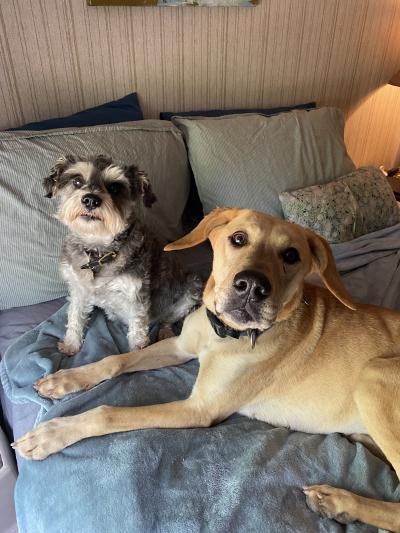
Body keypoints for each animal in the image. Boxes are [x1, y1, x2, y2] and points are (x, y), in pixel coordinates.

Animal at [43, 154, 203, 354]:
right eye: (77, 181)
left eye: (115, 187)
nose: (91, 200)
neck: (98, 251)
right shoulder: (78, 289)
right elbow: (75, 316)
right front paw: (71, 344)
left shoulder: (136, 297)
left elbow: (137, 332)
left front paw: (137, 355)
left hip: (189, 292)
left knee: (167, 319)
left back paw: (165, 333)